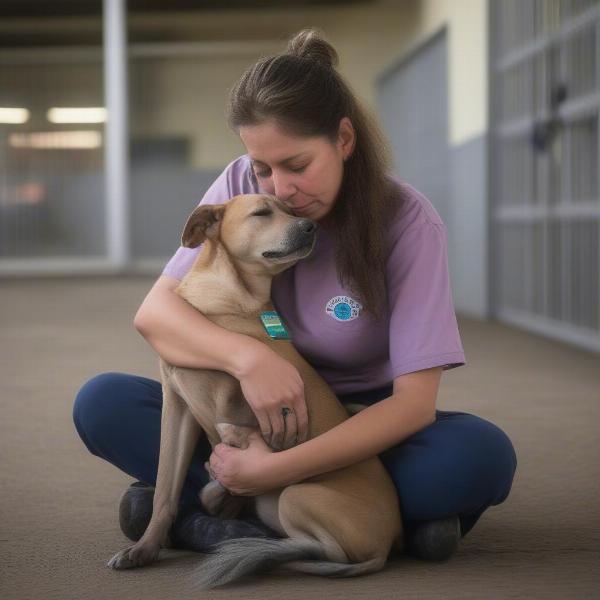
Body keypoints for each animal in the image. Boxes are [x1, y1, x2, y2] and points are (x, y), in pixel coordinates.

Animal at [108, 196, 404, 584]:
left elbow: (243, 442)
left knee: (327, 551)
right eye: (263, 212)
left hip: (296, 496)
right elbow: (165, 489)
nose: (310, 226)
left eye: (290, 210)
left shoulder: (248, 406)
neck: (225, 300)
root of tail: (387, 545)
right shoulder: (178, 405)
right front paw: (145, 547)